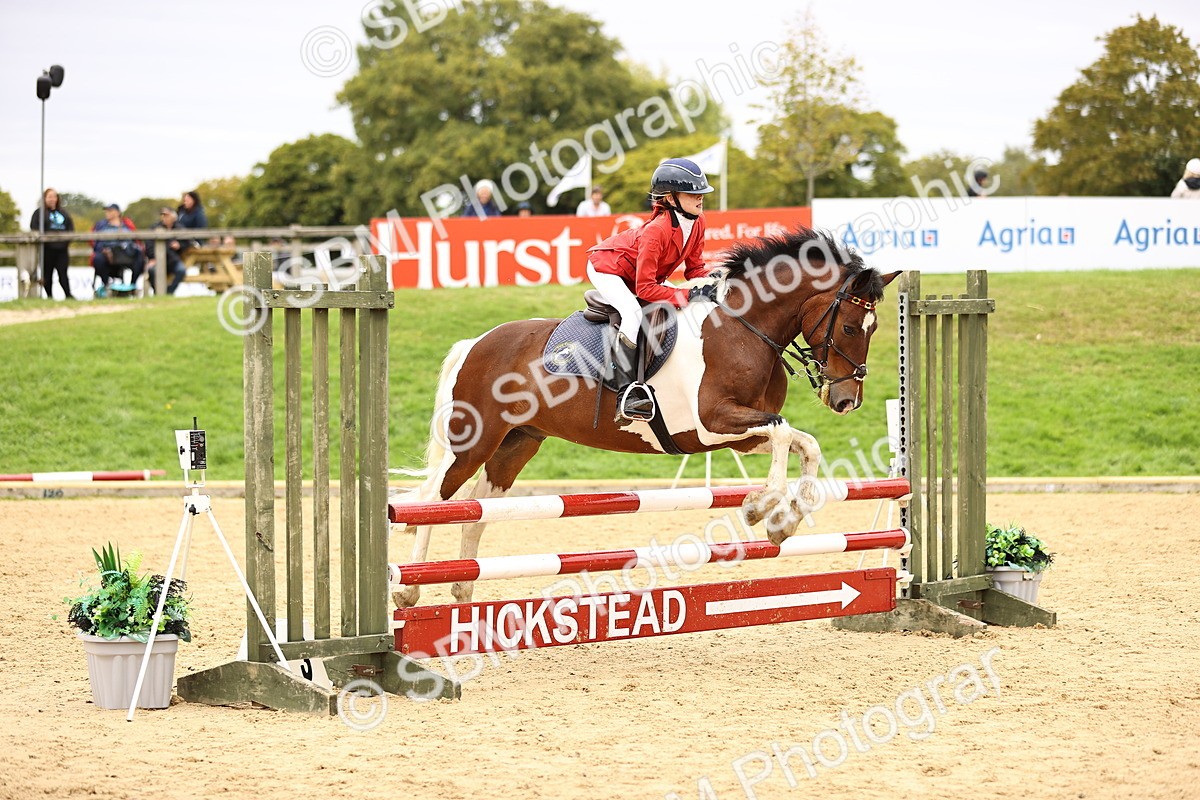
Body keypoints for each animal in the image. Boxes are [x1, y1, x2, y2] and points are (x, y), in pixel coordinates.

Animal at [393, 227, 899, 606]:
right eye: (849, 326)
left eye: (873, 328)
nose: (847, 400)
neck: (744, 329)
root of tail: (475, 343)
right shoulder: (711, 424)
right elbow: (781, 433)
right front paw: (761, 507)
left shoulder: (734, 433)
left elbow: (803, 442)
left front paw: (786, 520)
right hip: (472, 441)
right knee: (433, 500)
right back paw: (407, 592)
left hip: (516, 444)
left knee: (476, 511)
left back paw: (463, 589)